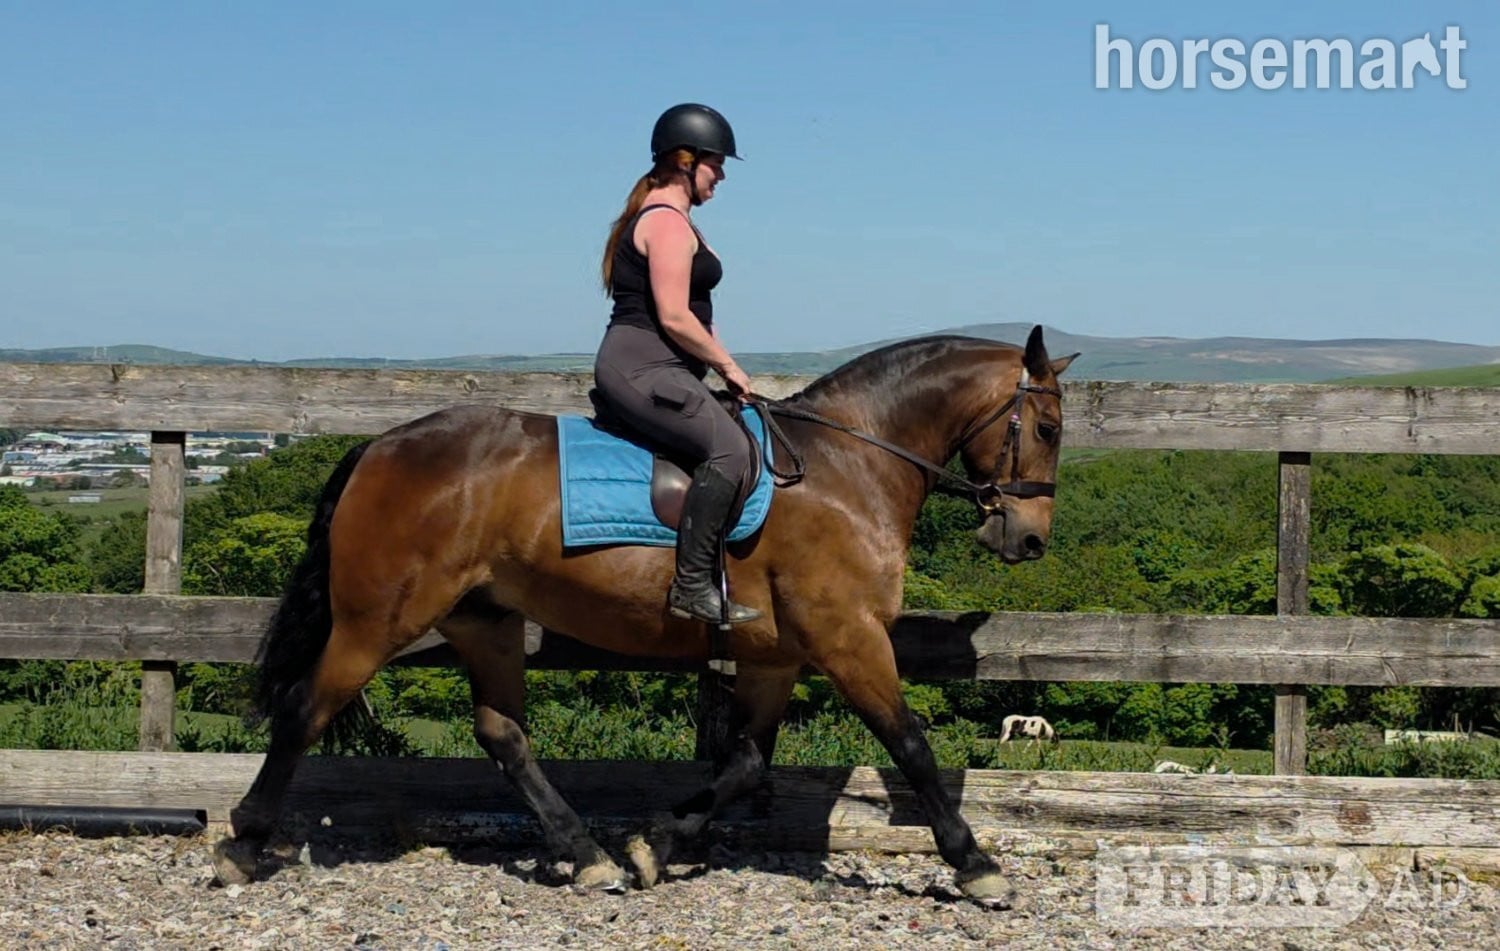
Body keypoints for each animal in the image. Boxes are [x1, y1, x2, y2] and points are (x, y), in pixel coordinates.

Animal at [211, 325, 1078, 906]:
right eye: (1047, 427)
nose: (1030, 538)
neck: (849, 465)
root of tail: (379, 447)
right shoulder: (849, 638)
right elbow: (913, 746)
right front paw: (976, 865)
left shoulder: (774, 657)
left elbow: (744, 763)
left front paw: (653, 845)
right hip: (375, 621)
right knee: (305, 709)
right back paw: (243, 842)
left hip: (484, 620)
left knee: (503, 734)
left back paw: (587, 853)